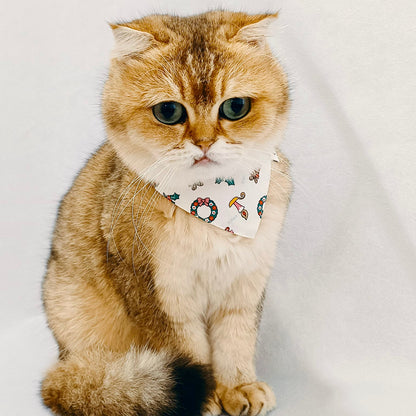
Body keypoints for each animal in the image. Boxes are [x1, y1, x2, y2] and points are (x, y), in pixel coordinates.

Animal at [40, 8, 290, 416]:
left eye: (236, 107)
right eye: (169, 112)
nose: (204, 143)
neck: (213, 209)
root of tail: (61, 363)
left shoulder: (245, 280)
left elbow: (236, 341)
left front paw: (239, 387)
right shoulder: (157, 290)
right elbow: (186, 348)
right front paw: (205, 398)